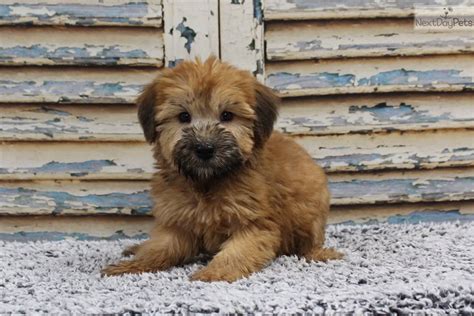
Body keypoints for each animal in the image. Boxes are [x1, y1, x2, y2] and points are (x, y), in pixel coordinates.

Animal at [102, 56, 342, 282]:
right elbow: (159, 247)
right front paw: (131, 266)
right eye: (184, 116)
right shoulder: (176, 221)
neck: (208, 182)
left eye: (227, 115)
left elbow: (236, 253)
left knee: (309, 241)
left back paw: (319, 253)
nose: (205, 149)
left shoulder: (253, 222)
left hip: (310, 215)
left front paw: (214, 273)